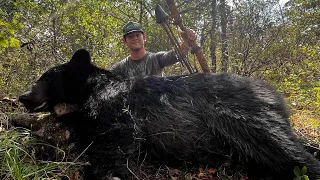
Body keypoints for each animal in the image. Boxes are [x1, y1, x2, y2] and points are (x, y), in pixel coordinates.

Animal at [19, 49, 320, 180]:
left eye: (46, 78)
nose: (23, 96)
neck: (94, 89)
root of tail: (274, 94)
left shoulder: (122, 121)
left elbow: (113, 146)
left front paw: (107, 173)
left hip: (246, 121)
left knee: (293, 154)